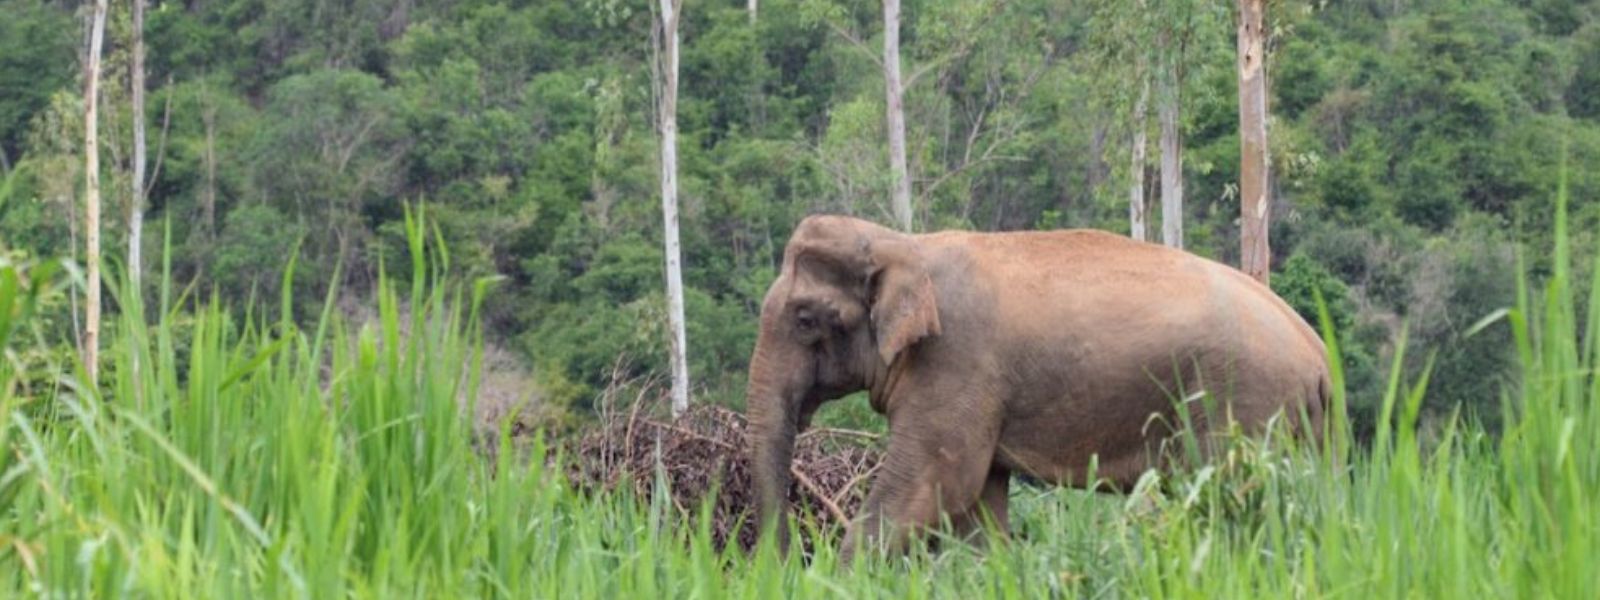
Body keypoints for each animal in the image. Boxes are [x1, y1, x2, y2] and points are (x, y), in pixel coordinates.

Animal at [744, 214, 1332, 560]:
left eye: (804, 318)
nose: (783, 563)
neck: (904, 244)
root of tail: (1319, 353)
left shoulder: (956, 363)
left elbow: (928, 489)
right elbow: (977, 506)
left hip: (1244, 406)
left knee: (1239, 505)